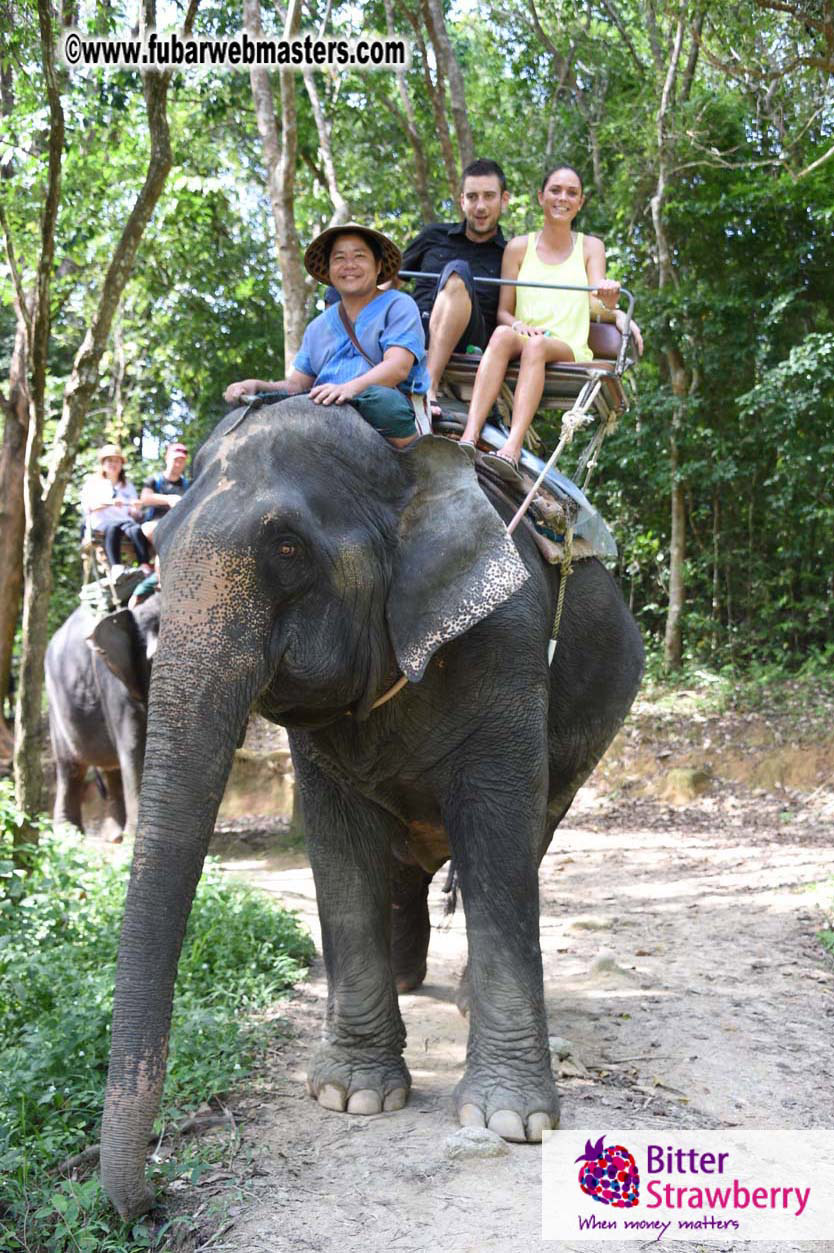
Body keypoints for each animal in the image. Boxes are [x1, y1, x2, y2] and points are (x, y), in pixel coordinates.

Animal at [45, 595, 160, 840]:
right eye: (154, 661)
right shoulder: (113, 680)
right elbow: (134, 748)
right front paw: (135, 839)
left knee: (111, 767)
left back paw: (114, 836)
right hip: (55, 703)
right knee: (70, 768)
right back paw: (69, 834)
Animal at [100, 399, 643, 1220]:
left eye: (287, 545)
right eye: (154, 548)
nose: (148, 1205)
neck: (403, 471)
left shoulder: (509, 639)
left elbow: (498, 831)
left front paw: (512, 1120)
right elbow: (338, 849)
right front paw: (351, 1096)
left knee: (538, 825)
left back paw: (458, 997)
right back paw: (410, 977)